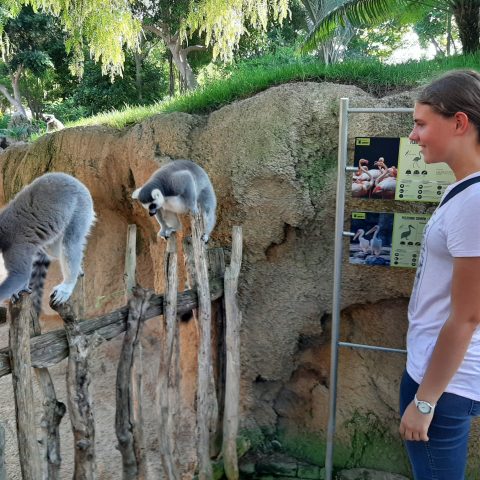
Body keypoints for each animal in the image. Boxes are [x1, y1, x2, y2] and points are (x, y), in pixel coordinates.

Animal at [0, 172, 95, 313]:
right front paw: (20, 289)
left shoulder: (15, 246)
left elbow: (19, 275)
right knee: (54, 249)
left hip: (81, 206)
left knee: (70, 242)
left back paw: (67, 285)